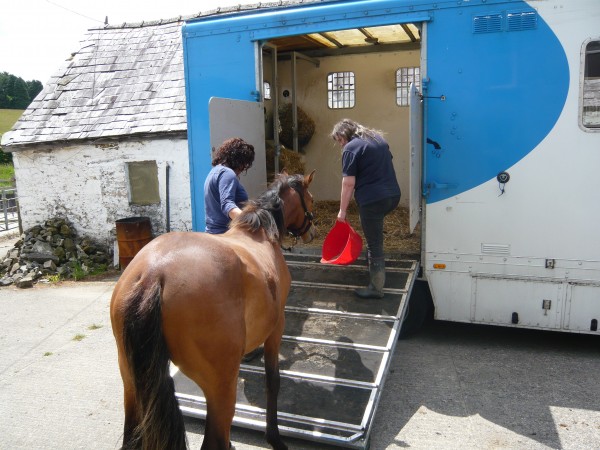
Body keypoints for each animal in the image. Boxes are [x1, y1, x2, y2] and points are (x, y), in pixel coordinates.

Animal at [112, 171, 316, 448]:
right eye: (311, 199)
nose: (312, 232)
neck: (259, 233)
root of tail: (155, 272)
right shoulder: (276, 328)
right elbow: (272, 380)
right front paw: (274, 437)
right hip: (220, 389)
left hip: (132, 387)